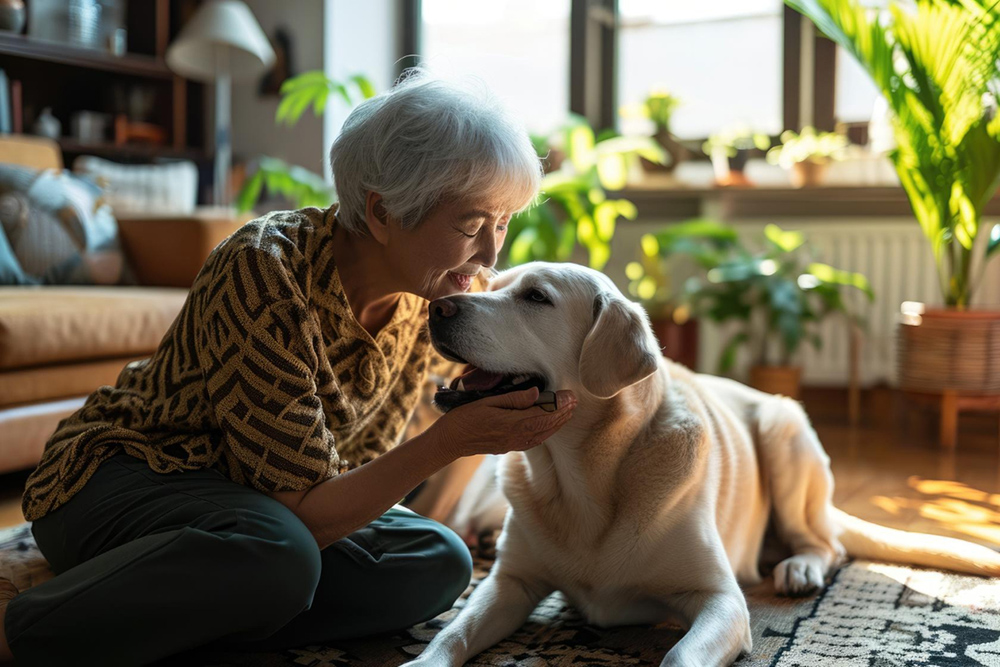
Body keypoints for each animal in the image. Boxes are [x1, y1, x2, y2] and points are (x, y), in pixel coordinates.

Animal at [402, 260, 1000, 667]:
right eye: (490, 285)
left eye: (535, 297)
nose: (437, 307)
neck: (582, 477)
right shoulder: (510, 582)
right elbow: (451, 631)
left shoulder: (722, 601)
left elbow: (680, 654)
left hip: (783, 428)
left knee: (826, 543)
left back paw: (799, 568)